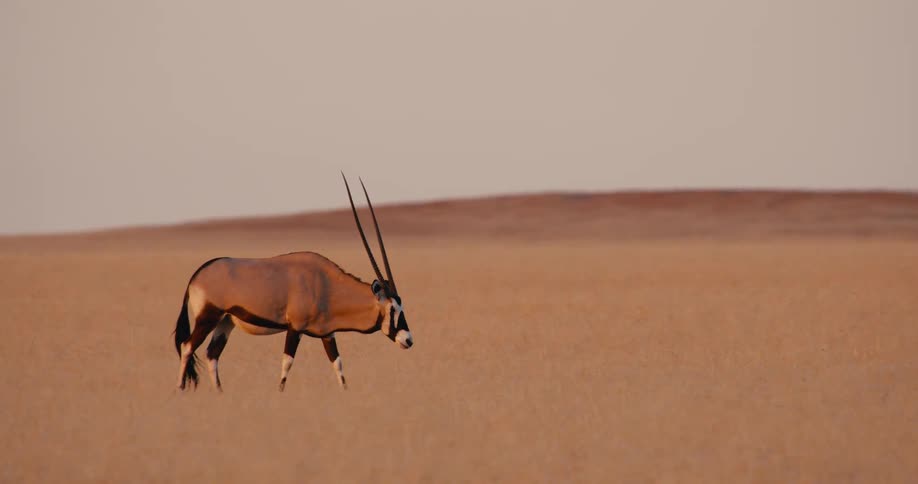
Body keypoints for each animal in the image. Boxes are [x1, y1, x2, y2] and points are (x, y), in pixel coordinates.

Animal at [173, 174, 413, 392]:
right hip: (208, 317)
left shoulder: (328, 333)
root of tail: (197, 275)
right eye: (392, 309)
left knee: (212, 355)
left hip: (225, 322)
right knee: (187, 347)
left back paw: (219, 393)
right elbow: (287, 363)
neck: (326, 285)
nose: (408, 340)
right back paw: (181, 390)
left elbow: (338, 364)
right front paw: (280, 392)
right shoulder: (295, 328)